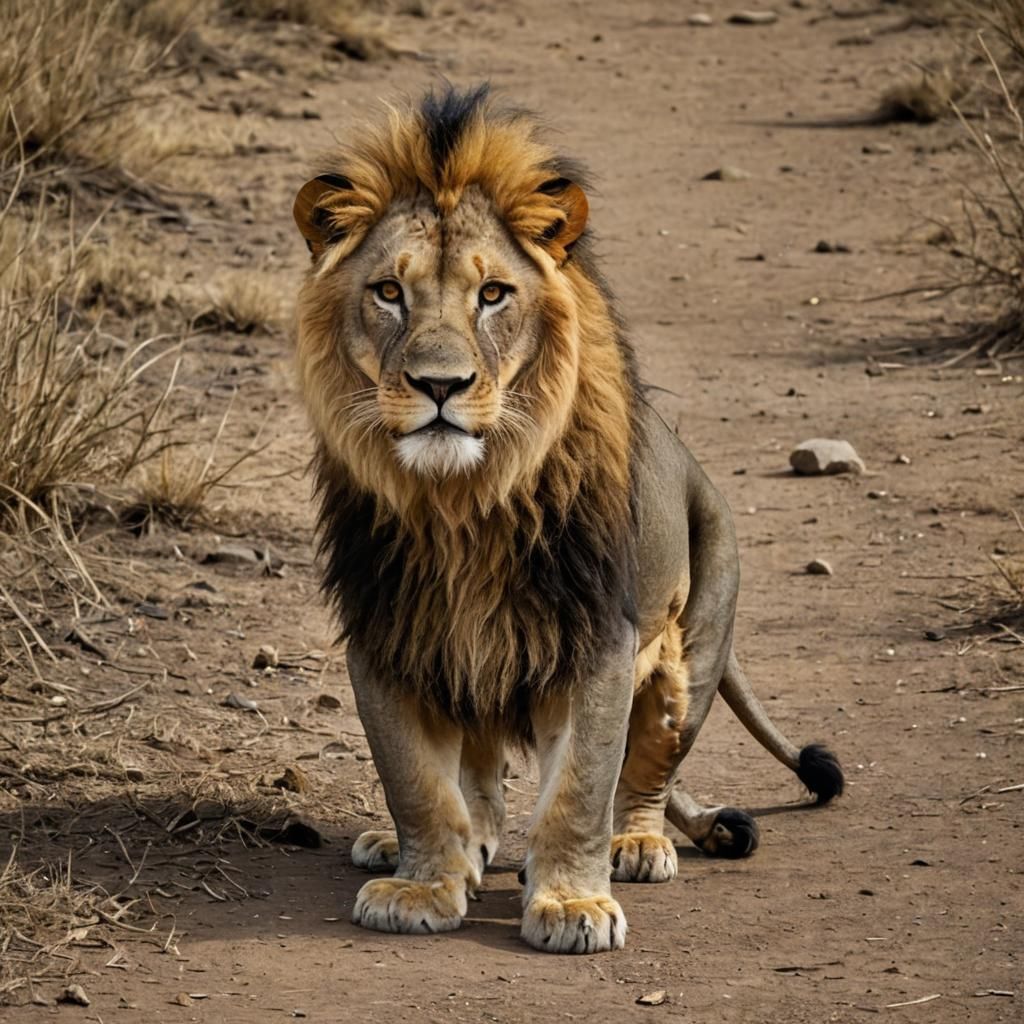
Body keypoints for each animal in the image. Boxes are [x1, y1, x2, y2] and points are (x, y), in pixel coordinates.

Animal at [291, 84, 843, 954]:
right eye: (388, 292)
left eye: (493, 295)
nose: (439, 385)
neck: (461, 500)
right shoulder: (386, 630)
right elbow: (417, 782)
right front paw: (423, 882)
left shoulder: (595, 638)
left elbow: (582, 786)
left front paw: (572, 903)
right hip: (468, 660)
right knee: (480, 783)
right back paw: (435, 845)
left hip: (692, 652)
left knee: (646, 773)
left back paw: (637, 845)